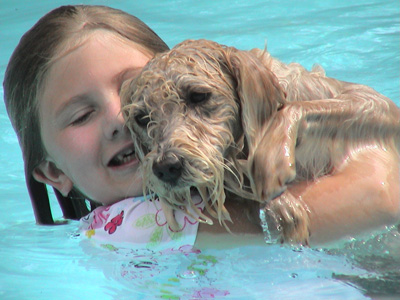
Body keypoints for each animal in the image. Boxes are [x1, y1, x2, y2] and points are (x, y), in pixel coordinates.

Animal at [122, 38, 400, 244]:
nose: (166, 167)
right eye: (141, 118)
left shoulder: (376, 105)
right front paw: (280, 206)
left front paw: (270, 163)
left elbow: (296, 109)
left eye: (198, 96)